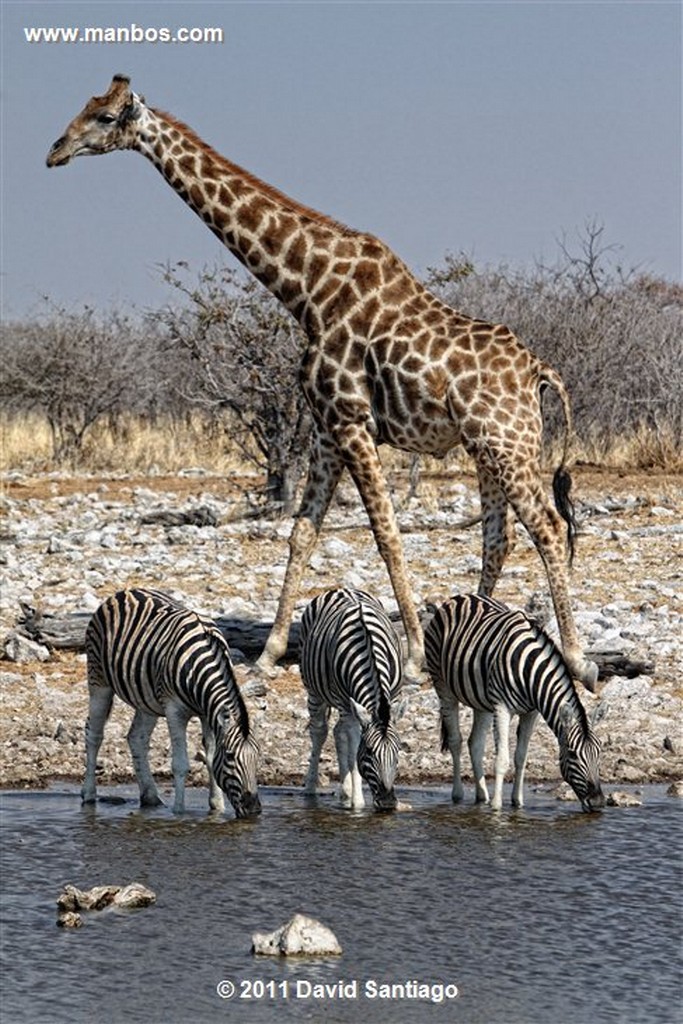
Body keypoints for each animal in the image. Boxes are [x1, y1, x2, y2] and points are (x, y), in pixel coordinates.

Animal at [46, 75, 598, 692]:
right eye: (86, 108)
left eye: (106, 117)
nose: (55, 151)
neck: (306, 290)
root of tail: (539, 372)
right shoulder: (326, 428)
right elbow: (302, 532)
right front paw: (267, 653)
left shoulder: (352, 421)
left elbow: (386, 533)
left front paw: (411, 655)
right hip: (487, 449)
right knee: (498, 537)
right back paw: (475, 634)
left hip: (508, 444)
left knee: (547, 527)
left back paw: (578, 659)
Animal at [80, 589, 262, 819]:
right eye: (230, 757)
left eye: (258, 756)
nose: (254, 810)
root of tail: (124, 592)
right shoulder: (174, 710)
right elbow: (180, 764)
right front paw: (179, 812)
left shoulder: (207, 713)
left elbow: (210, 757)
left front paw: (217, 807)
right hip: (99, 681)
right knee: (94, 734)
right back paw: (88, 794)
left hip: (145, 697)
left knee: (136, 738)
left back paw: (150, 797)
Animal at [301, 589, 405, 811]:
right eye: (369, 752)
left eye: (398, 751)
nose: (388, 803)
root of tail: (340, 588)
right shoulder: (345, 703)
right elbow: (353, 746)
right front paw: (357, 803)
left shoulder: (392, 698)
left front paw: (351, 795)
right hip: (315, 692)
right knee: (320, 732)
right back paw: (312, 787)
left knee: (338, 732)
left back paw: (345, 792)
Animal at [423, 598, 606, 811]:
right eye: (572, 754)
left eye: (599, 753)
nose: (598, 802)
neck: (531, 671)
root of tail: (460, 598)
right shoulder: (502, 708)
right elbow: (502, 759)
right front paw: (496, 807)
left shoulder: (531, 712)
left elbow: (521, 757)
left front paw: (517, 802)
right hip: (443, 686)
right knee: (455, 741)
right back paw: (458, 795)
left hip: (482, 702)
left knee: (475, 743)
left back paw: (482, 796)